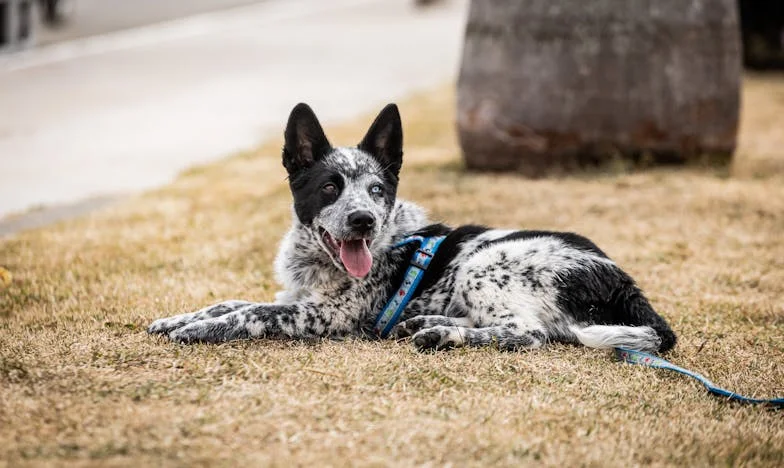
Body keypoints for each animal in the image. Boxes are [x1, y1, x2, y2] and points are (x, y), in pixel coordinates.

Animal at [147, 101, 672, 352]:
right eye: (330, 187)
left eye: (378, 189)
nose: (363, 220)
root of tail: (624, 282)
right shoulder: (294, 295)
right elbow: (229, 301)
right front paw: (180, 317)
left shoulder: (321, 315)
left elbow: (252, 313)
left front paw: (201, 330)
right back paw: (427, 322)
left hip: (486, 264)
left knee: (528, 332)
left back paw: (443, 335)